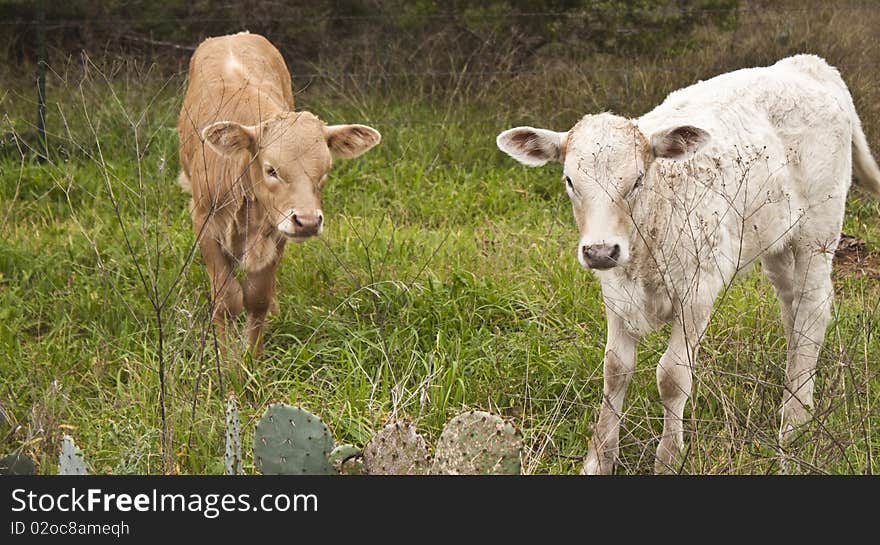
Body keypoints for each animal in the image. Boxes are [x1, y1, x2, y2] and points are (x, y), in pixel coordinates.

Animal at [177, 34, 380, 354]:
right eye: (271, 170)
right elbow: (227, 300)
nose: (308, 221)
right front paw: (226, 357)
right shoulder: (205, 223)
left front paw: (252, 357)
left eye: (325, 171)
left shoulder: (279, 228)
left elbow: (257, 298)